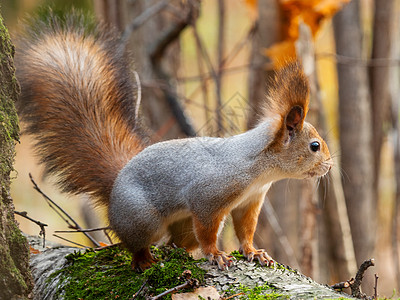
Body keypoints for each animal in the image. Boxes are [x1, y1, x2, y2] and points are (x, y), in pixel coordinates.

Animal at [14, 13, 332, 272]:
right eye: (314, 146)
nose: (330, 166)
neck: (259, 169)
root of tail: (115, 186)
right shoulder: (209, 196)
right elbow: (207, 229)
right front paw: (216, 254)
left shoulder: (249, 202)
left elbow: (246, 231)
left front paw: (254, 252)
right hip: (143, 218)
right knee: (135, 242)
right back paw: (143, 260)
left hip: (181, 226)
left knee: (177, 243)